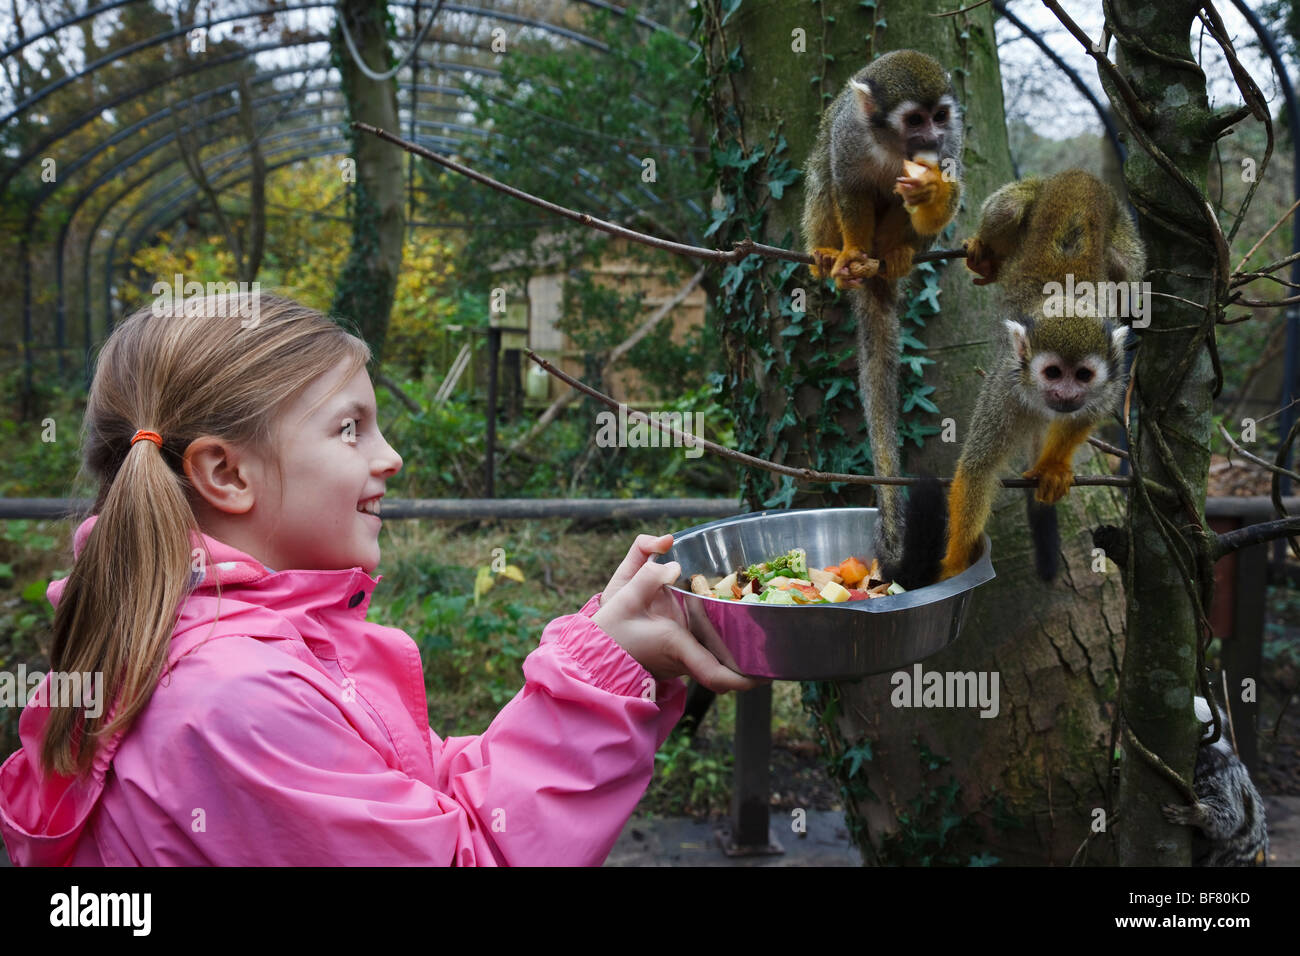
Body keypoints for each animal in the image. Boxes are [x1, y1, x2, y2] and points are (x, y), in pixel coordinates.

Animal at [795, 48, 961, 572]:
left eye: (940, 116)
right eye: (914, 119)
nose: (931, 137)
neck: (892, 146)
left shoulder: (955, 143)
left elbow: (945, 193)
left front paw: (930, 195)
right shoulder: (851, 134)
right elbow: (848, 186)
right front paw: (849, 251)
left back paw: (892, 257)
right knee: (823, 175)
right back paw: (838, 257)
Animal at [941, 171, 1144, 582]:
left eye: (1082, 375)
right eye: (1052, 373)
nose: (1065, 395)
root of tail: (1080, 177)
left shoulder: (1108, 383)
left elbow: (1088, 414)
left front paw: (1052, 468)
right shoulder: (1005, 385)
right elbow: (977, 469)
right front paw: (956, 565)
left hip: (1121, 227)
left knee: (1130, 276)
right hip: (1031, 191)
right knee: (1005, 209)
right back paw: (986, 257)